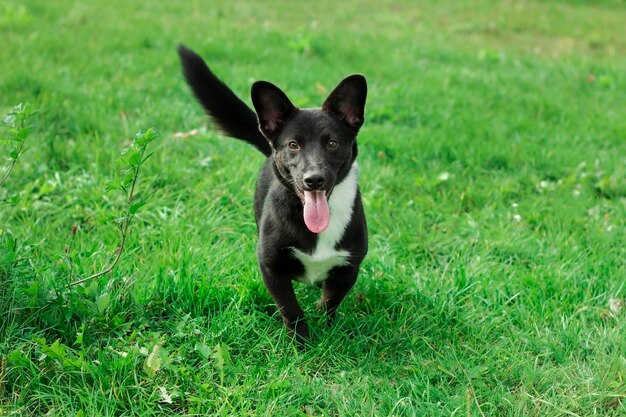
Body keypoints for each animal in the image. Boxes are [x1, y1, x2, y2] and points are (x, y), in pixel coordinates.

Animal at [177, 45, 366, 344]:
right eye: (293, 145)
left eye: (333, 143)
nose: (313, 179)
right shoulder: (271, 267)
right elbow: (291, 309)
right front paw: (302, 345)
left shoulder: (349, 267)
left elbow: (329, 302)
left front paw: (328, 331)